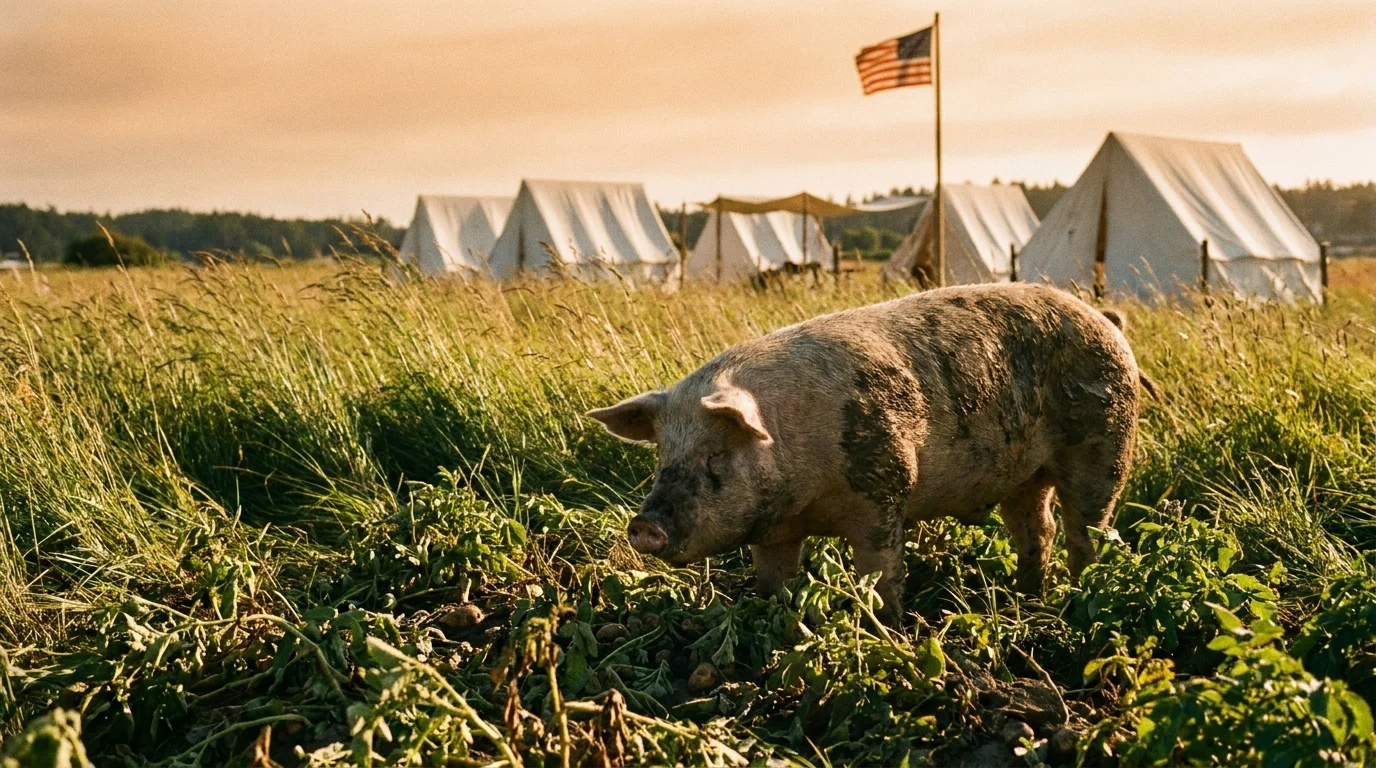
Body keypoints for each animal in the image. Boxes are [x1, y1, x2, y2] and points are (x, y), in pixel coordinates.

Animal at [587, 283, 1149, 623]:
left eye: (716, 454)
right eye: (662, 456)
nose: (644, 525)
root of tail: (1105, 319)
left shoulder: (885, 486)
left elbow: (881, 572)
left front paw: (890, 627)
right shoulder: (775, 533)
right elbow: (775, 580)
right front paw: (773, 616)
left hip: (1106, 447)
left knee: (1087, 533)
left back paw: (1078, 601)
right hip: (1023, 479)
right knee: (1037, 530)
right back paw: (1029, 598)